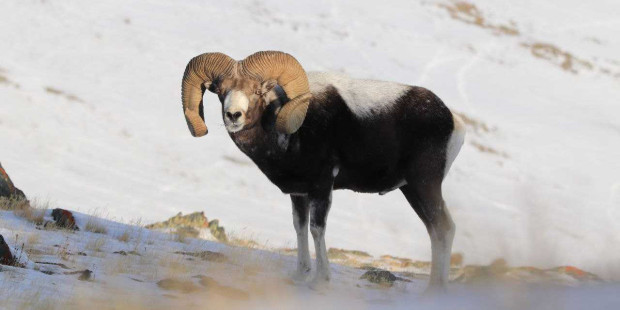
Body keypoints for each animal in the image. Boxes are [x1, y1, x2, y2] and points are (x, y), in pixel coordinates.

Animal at [179, 50, 464, 290]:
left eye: (257, 90)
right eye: (220, 90)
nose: (233, 115)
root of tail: (452, 121)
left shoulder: (321, 187)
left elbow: (316, 229)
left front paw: (320, 280)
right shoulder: (299, 193)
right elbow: (300, 227)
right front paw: (301, 274)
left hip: (424, 185)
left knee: (444, 228)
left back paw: (435, 291)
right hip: (412, 191)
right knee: (435, 231)